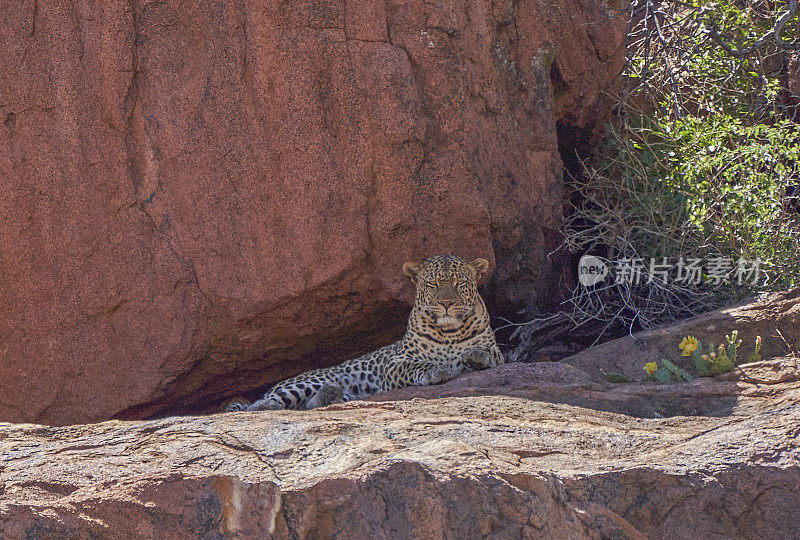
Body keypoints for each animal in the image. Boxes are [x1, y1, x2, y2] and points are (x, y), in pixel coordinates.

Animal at [222, 255, 504, 412]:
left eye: (460, 283)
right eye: (432, 284)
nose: (446, 303)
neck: (448, 332)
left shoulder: (498, 351)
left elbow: (487, 352)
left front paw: (474, 357)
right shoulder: (396, 364)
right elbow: (416, 365)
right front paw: (436, 370)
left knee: (311, 404)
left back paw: (328, 395)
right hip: (305, 381)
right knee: (262, 403)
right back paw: (265, 405)